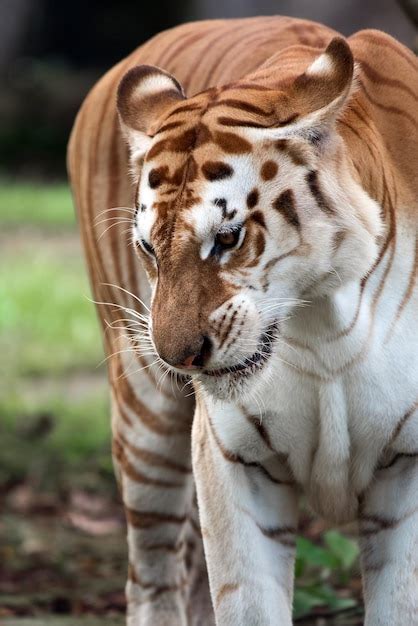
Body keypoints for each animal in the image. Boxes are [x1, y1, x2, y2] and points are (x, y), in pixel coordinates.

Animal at [67, 14, 418, 624]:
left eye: (227, 239)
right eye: (149, 248)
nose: (179, 357)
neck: (328, 323)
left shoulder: (409, 467)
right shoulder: (234, 460)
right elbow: (246, 599)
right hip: (145, 417)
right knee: (153, 576)